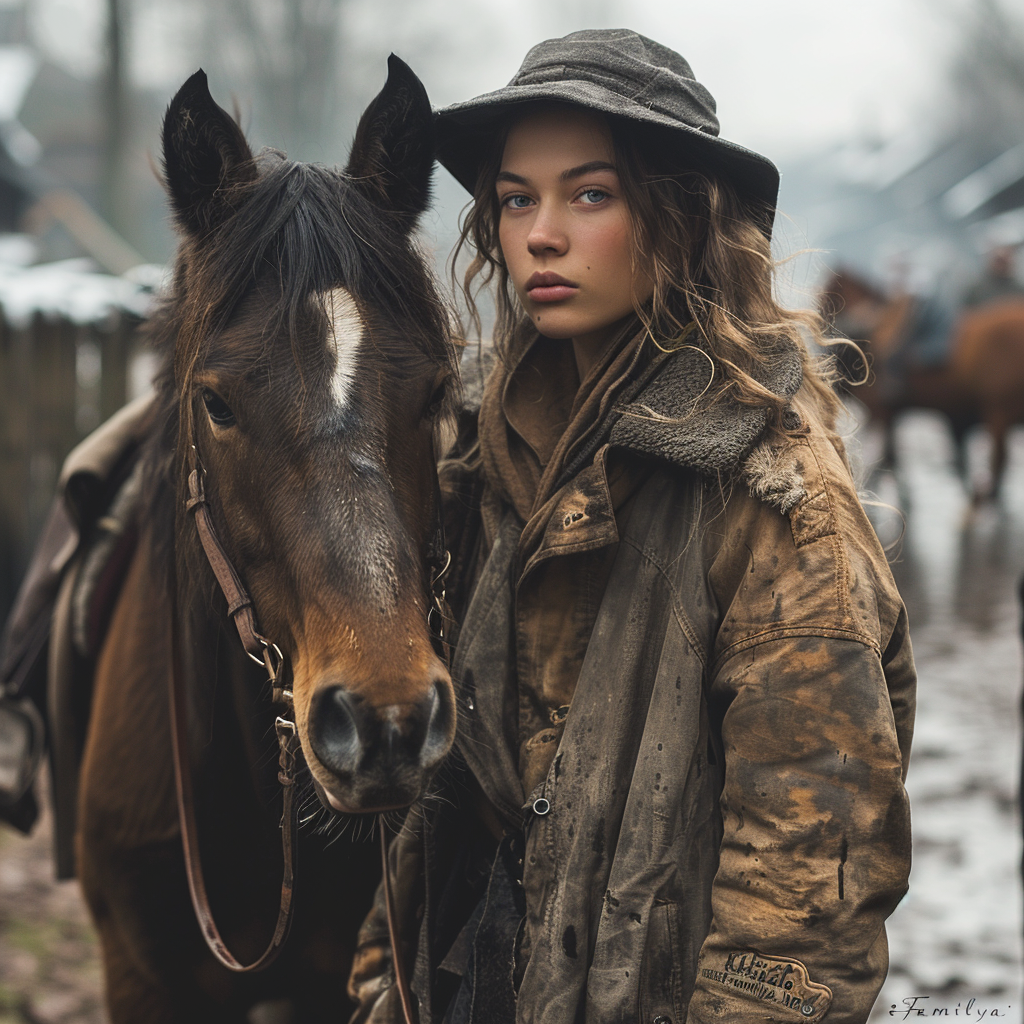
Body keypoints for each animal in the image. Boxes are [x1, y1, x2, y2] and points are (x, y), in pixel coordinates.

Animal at [819, 264, 1024, 499]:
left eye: (826, 297)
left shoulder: (882, 411)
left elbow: (889, 460)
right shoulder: (890, 414)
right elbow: (891, 459)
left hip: (999, 413)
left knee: (997, 466)